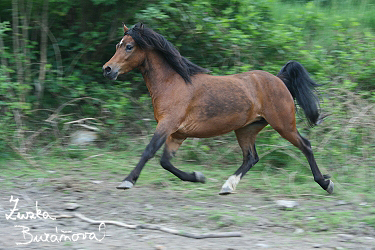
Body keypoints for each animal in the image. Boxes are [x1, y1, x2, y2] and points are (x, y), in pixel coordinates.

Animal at [101, 23, 334, 195]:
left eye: (129, 47)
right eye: (118, 45)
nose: (107, 69)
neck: (173, 83)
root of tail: (279, 80)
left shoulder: (167, 125)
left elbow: (149, 151)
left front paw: (127, 181)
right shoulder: (177, 133)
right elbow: (165, 162)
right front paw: (197, 177)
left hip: (284, 125)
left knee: (306, 146)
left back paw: (325, 183)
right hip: (246, 129)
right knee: (251, 158)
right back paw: (227, 186)